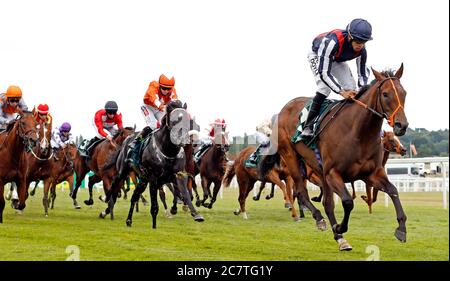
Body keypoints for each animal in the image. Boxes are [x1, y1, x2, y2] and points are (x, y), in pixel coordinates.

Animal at [101, 100, 203, 228]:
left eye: (188, 120)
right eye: (174, 120)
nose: (184, 140)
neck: (167, 150)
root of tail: (126, 140)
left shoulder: (178, 176)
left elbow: (185, 194)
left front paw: (196, 214)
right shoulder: (154, 178)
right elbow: (155, 205)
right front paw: (155, 224)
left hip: (143, 180)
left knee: (134, 196)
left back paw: (129, 220)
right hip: (124, 171)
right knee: (115, 182)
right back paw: (105, 199)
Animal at [262, 64, 410, 249]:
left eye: (404, 93)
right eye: (385, 94)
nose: (401, 125)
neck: (358, 133)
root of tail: (283, 110)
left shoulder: (371, 174)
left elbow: (393, 190)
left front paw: (401, 228)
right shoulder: (333, 173)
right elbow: (347, 201)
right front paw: (340, 226)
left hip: (320, 171)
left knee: (327, 203)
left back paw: (340, 238)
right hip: (291, 158)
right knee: (301, 192)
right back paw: (319, 219)